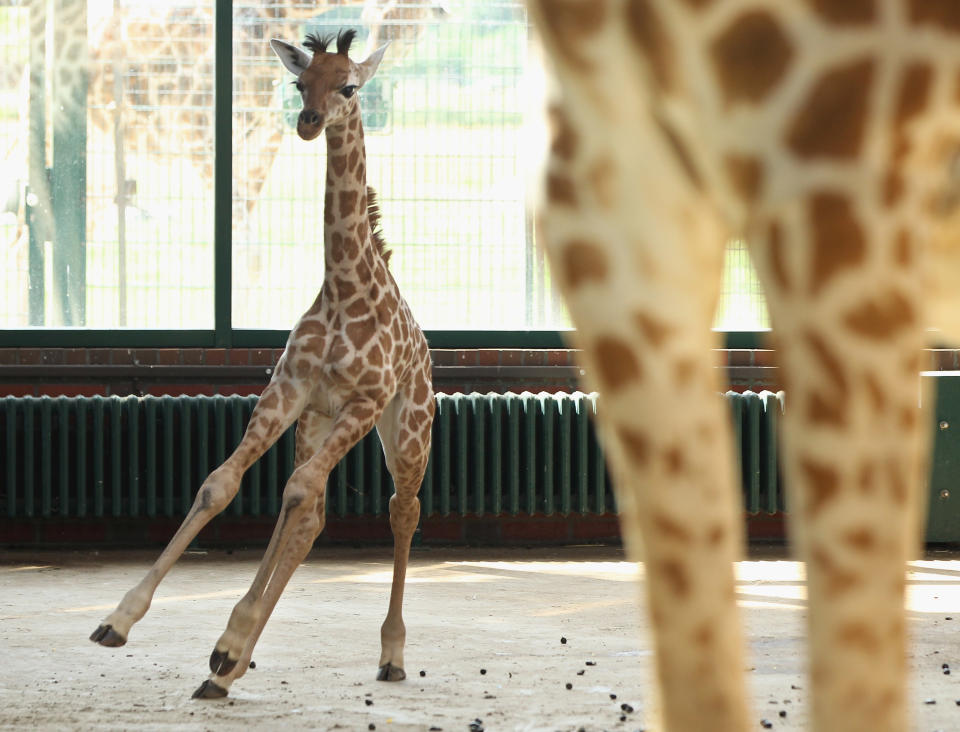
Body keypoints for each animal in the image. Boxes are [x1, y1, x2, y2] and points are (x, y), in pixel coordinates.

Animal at [90, 31, 436, 700]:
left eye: (348, 85)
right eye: (302, 82)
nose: (308, 122)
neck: (343, 287)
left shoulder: (363, 402)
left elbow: (293, 491)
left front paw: (229, 638)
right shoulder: (290, 390)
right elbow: (222, 484)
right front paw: (121, 618)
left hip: (407, 431)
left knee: (399, 511)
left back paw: (392, 654)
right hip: (317, 424)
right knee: (310, 511)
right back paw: (228, 666)